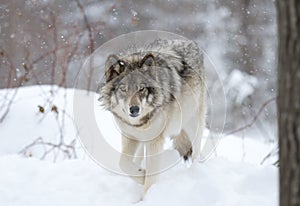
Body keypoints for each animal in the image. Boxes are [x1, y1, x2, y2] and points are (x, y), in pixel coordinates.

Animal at [98, 39, 206, 196]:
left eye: (141, 88)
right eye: (123, 89)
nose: (134, 109)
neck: (140, 123)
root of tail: (190, 42)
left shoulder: (154, 142)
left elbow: (150, 178)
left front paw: (146, 196)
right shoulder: (130, 136)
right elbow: (123, 163)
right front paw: (141, 175)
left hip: (192, 124)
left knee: (197, 152)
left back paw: (195, 173)